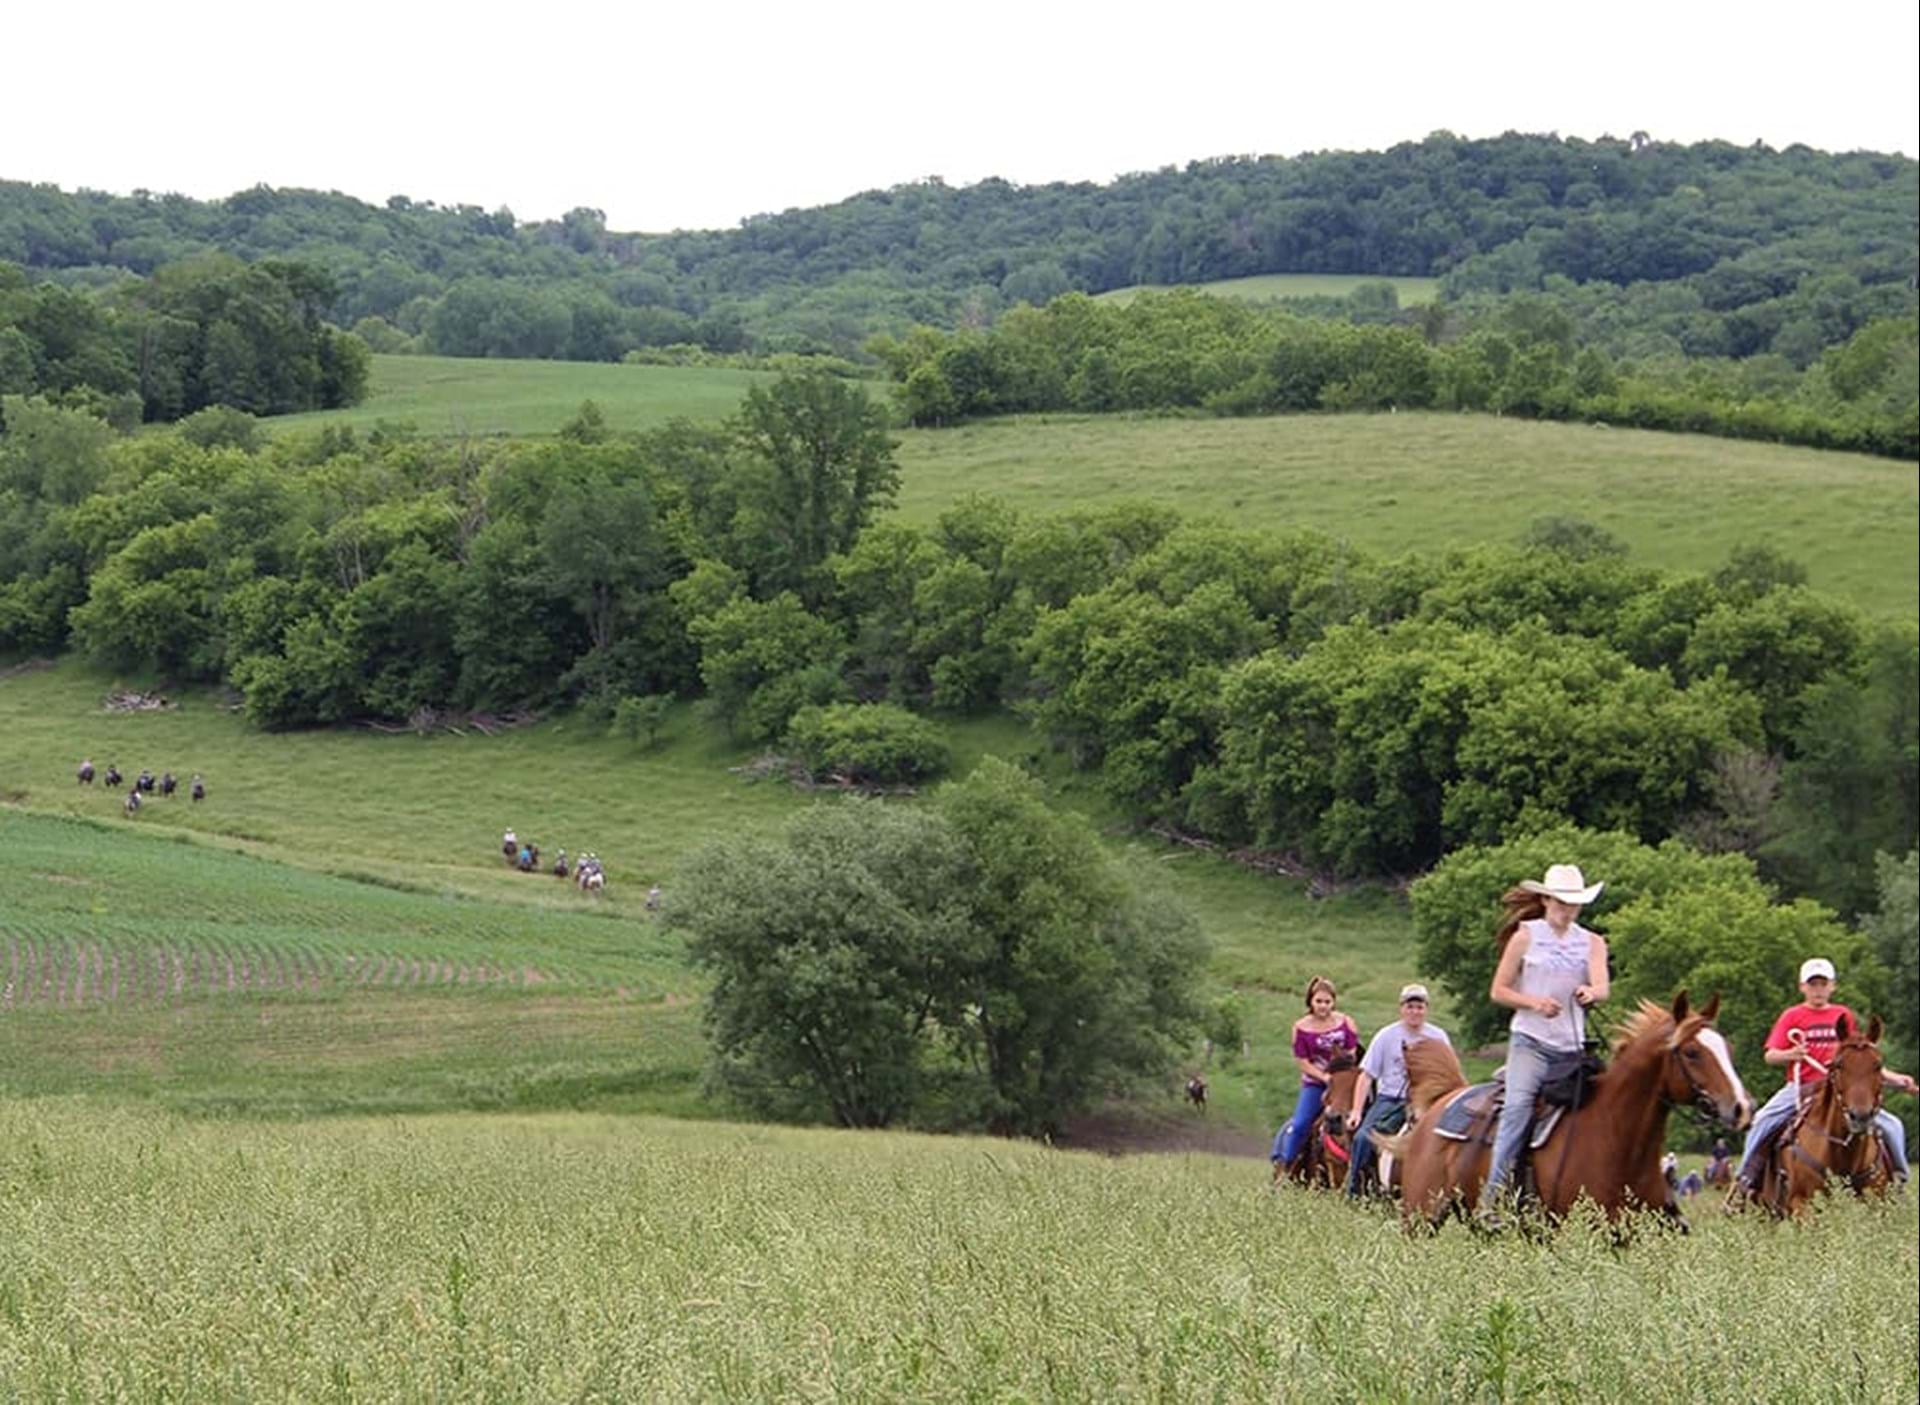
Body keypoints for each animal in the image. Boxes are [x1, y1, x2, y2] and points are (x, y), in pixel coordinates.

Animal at [1374, 990, 1751, 1228]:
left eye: (1728, 1048)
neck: (1616, 1135)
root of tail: (1442, 1102)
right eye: (1692, 1052)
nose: (1741, 1107)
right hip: (1419, 1217)